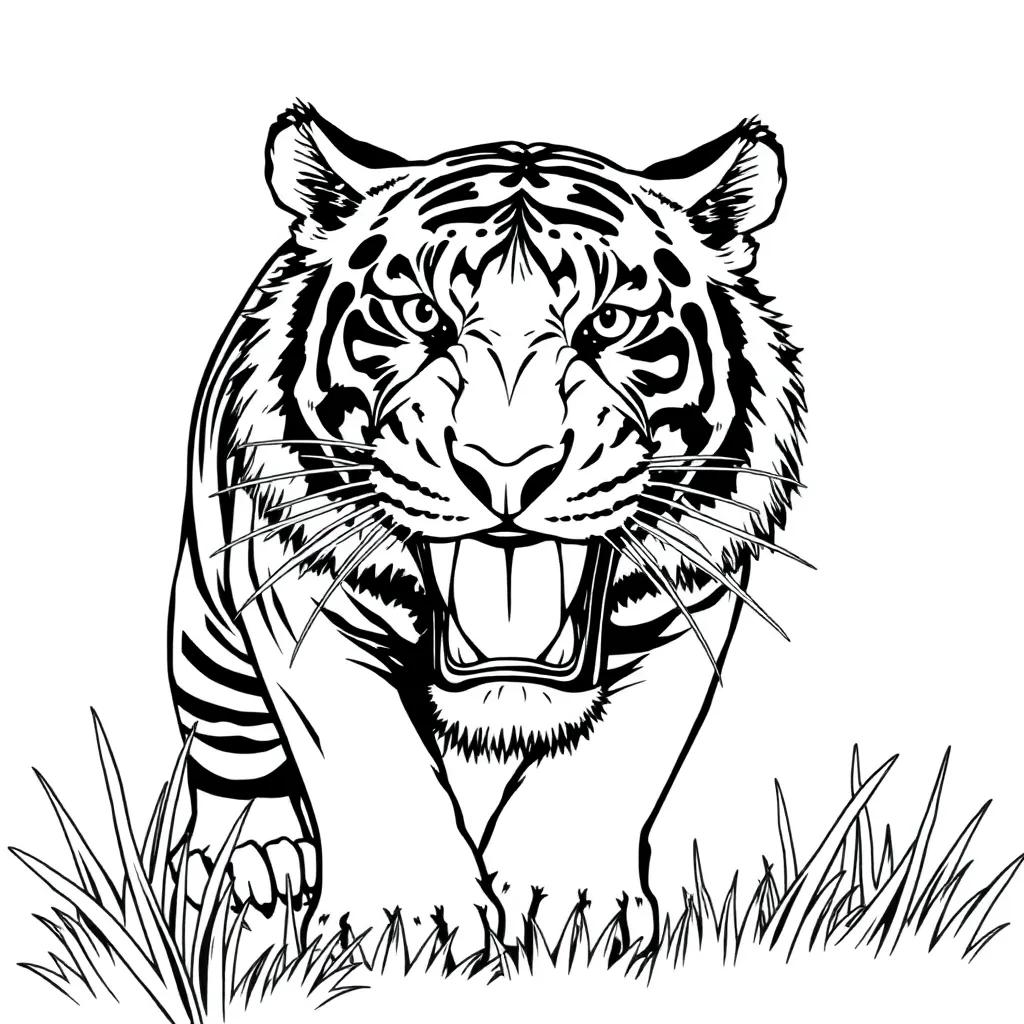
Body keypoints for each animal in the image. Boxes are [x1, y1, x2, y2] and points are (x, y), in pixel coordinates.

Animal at [168, 101, 805, 948]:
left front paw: (571, 905)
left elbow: (615, 756)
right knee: (229, 746)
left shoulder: (683, 612)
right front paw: (404, 919)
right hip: (207, 635)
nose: (506, 467)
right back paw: (258, 858)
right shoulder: (298, 600)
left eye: (609, 323)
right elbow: (362, 750)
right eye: (422, 316)